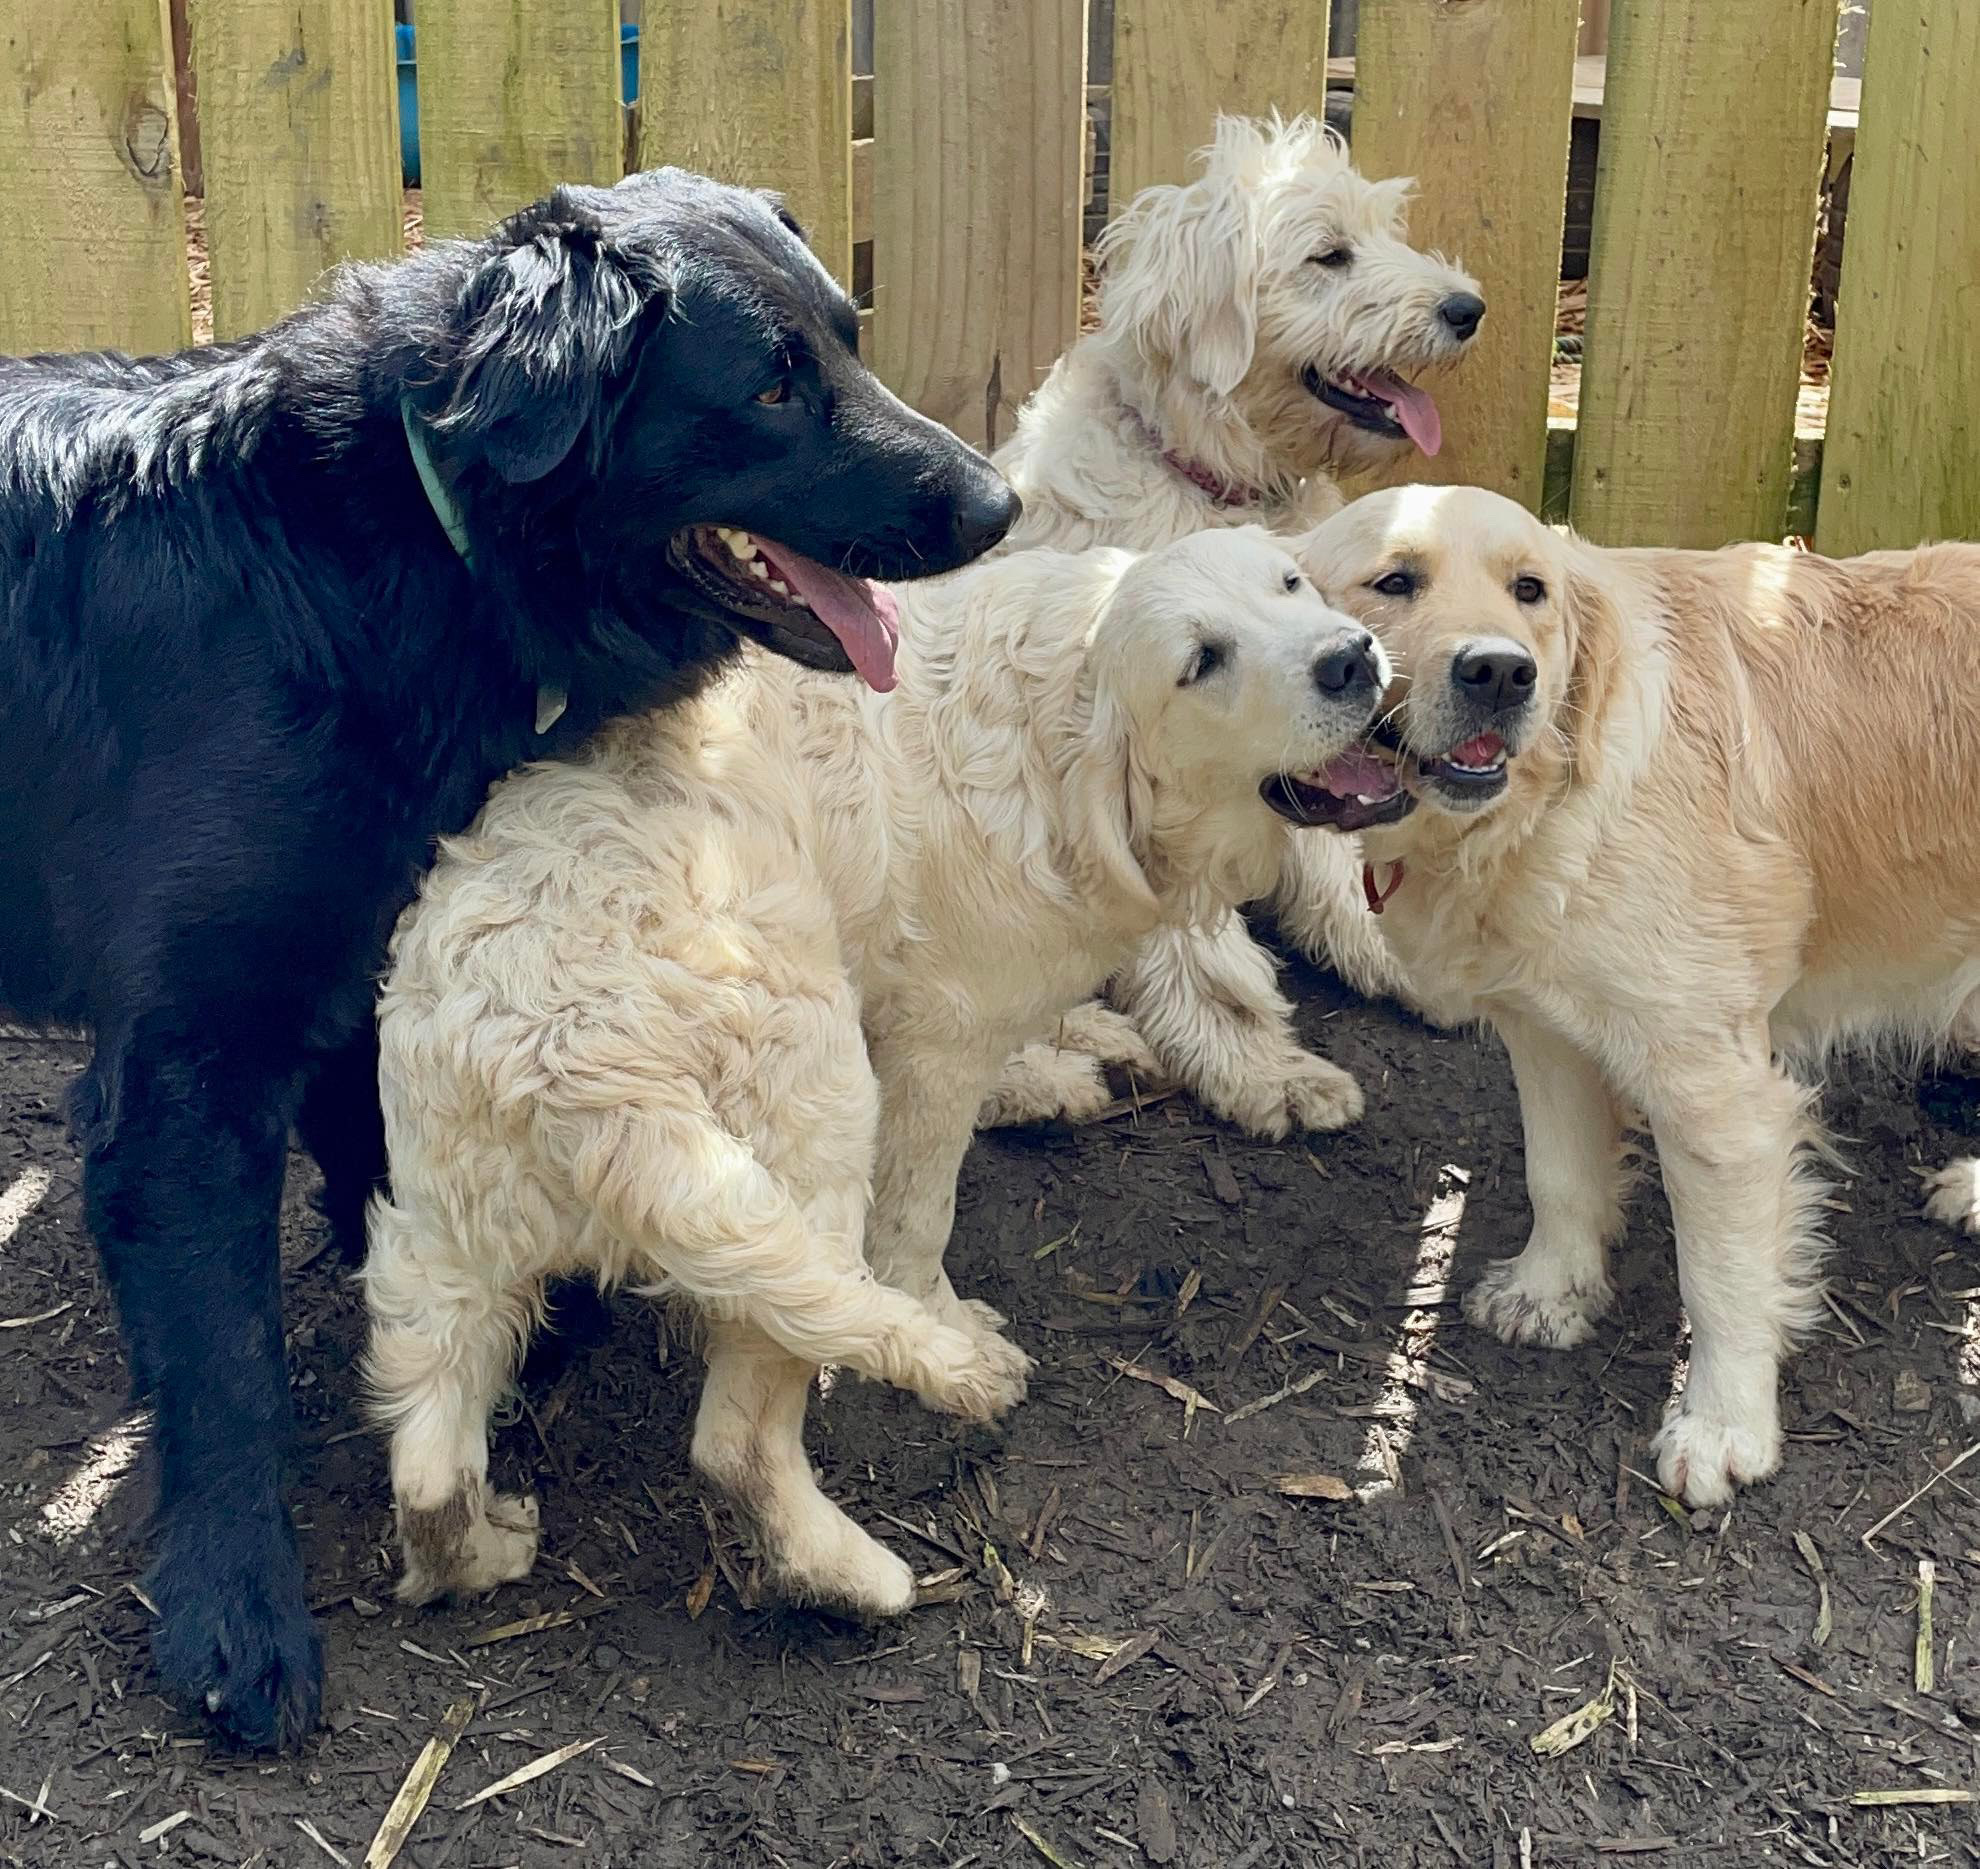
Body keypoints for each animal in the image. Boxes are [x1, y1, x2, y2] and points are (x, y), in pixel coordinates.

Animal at [0, 168, 1013, 1742]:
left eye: (849, 338)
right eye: (771, 385)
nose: (999, 501)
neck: (390, 544)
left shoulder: (359, 962)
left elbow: (381, 1178)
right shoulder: (183, 1071)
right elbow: (226, 1364)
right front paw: (236, 1610)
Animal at [368, 530, 1393, 1623]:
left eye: (1290, 584)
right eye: (1202, 661)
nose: (1352, 659)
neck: (1049, 722)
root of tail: (565, 1059)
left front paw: (1069, 1058)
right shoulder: (939, 1035)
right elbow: (917, 1218)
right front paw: (952, 1308)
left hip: (448, 1234)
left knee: (427, 1456)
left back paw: (477, 1549)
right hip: (809, 1103)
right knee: (738, 1434)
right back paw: (859, 1572)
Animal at [982, 120, 1481, 1140]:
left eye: (1388, 231)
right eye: (1329, 254)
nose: (1468, 308)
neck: (1208, 484)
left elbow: (1331, 840)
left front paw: (1387, 949)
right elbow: (1203, 953)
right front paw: (1262, 1069)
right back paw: (1045, 1077)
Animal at [1290, 489, 1980, 1512]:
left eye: (1529, 589)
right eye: (1395, 581)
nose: (1501, 672)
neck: (1546, 805)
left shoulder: (1715, 1088)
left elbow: (1723, 1277)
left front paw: (1725, 1426)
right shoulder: (1544, 1029)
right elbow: (1560, 1174)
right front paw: (1552, 1291)